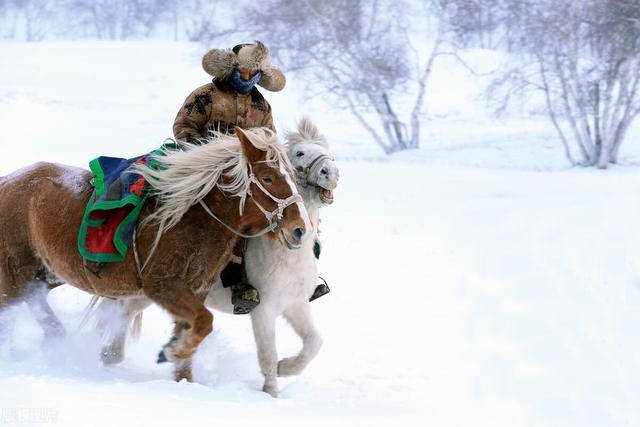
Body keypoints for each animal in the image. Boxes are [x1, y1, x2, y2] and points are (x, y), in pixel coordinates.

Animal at [0, 128, 310, 364]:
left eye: (294, 178)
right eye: (268, 178)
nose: (299, 230)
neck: (192, 217)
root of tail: (7, 182)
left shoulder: (194, 289)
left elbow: (197, 325)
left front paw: (175, 356)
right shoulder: (163, 285)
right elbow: (204, 322)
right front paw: (175, 352)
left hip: (45, 274)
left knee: (35, 303)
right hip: (16, 275)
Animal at [91, 118, 340, 398]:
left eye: (328, 151)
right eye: (300, 153)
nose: (331, 174)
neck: (286, 255)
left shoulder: (297, 306)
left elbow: (314, 343)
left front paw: (285, 368)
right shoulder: (263, 311)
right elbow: (267, 356)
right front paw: (271, 393)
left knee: (126, 310)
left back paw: (113, 354)